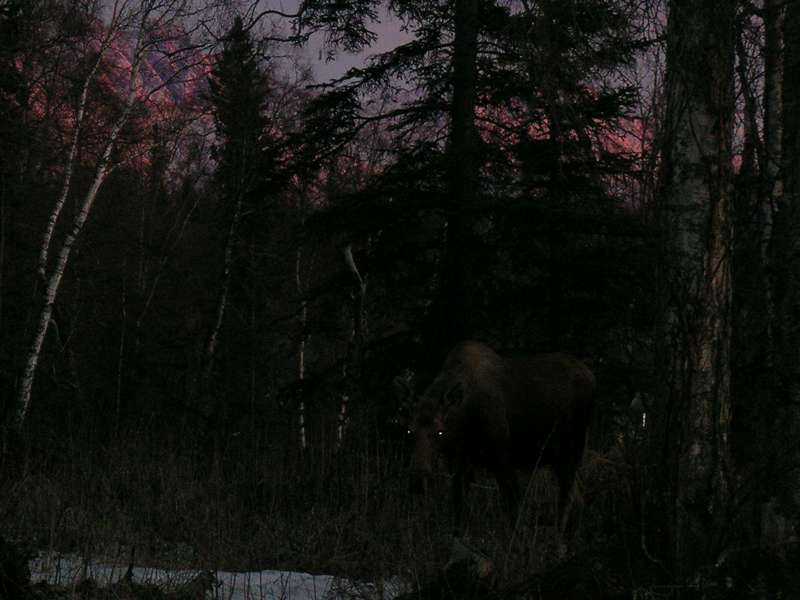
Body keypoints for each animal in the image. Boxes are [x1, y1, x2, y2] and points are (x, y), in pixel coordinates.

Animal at [396, 340, 592, 536]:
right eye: (409, 431)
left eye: (439, 432)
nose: (417, 480)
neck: (463, 421)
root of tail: (591, 377)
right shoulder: (459, 463)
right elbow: (459, 510)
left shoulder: (502, 458)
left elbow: (513, 511)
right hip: (557, 458)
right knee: (579, 497)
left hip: (571, 450)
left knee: (568, 499)